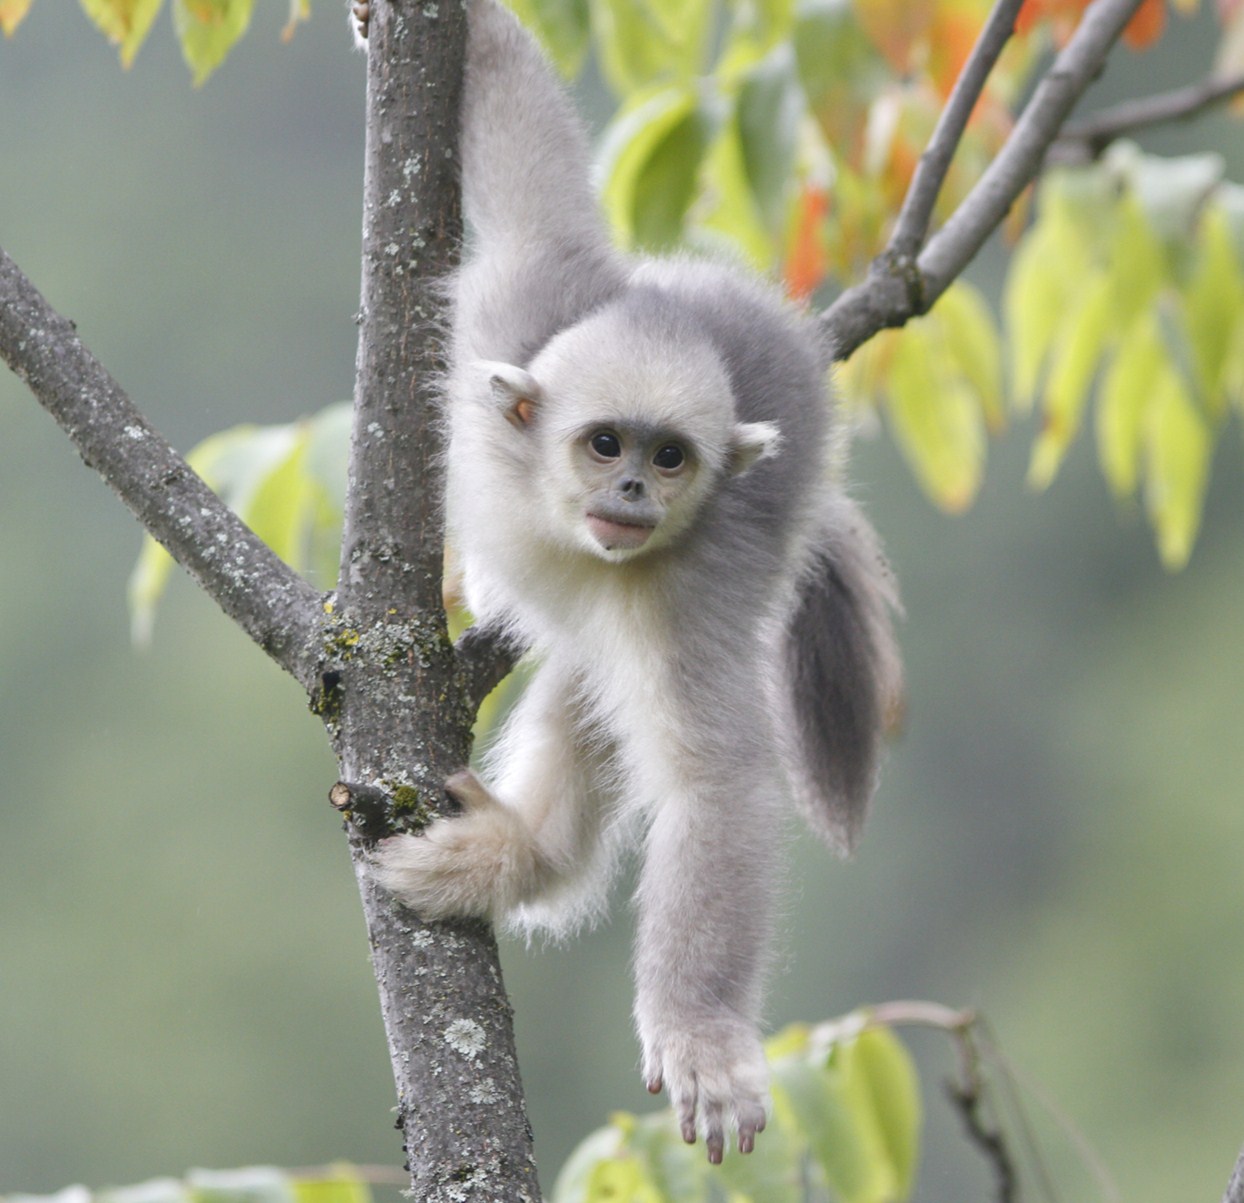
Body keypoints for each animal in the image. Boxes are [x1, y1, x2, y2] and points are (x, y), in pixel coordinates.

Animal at [363, 0, 905, 1164]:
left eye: (668, 458)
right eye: (604, 442)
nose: (630, 492)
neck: (560, 525)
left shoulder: (687, 592)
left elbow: (714, 785)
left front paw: (701, 1035)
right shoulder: (517, 306)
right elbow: (537, 201)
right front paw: (464, 32)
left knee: (597, 680)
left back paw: (529, 859)